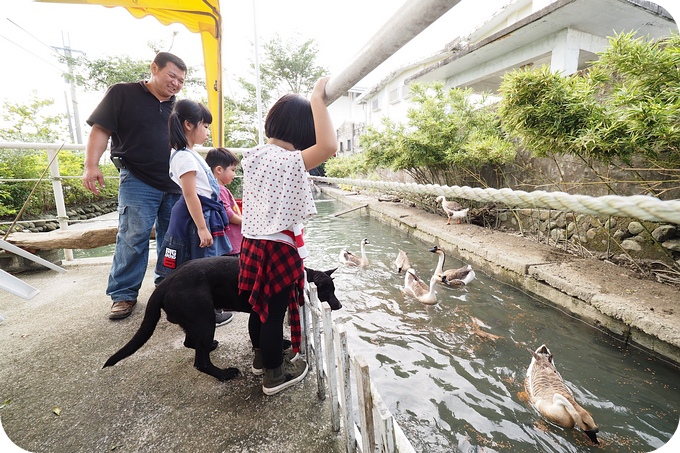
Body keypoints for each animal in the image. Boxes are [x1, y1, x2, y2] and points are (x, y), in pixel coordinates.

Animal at [103, 256, 340, 380]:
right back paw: (223, 374)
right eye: (328, 290)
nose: (339, 305)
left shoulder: (257, 315)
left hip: (197, 321)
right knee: (200, 362)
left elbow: (258, 337)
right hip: (205, 320)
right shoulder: (265, 313)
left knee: (190, 343)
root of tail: (166, 283)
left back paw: (211, 347)